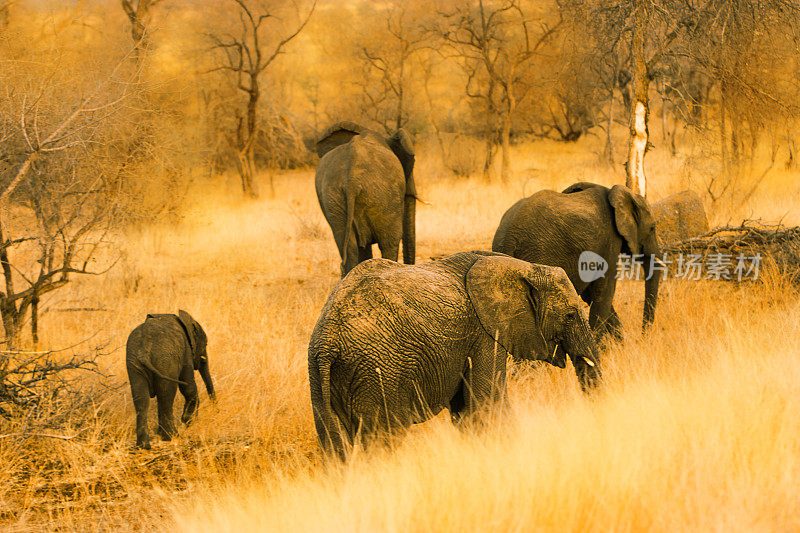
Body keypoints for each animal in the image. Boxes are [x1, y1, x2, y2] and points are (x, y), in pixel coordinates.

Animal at [124, 308, 214, 448]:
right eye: (205, 344)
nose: (217, 410)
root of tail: (144, 350)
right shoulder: (186, 351)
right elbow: (188, 387)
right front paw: (187, 420)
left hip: (134, 362)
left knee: (141, 398)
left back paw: (144, 445)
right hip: (165, 360)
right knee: (166, 395)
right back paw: (171, 437)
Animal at [306, 251, 600, 460]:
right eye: (570, 315)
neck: (524, 267)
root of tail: (328, 339)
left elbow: (465, 413)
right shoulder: (484, 333)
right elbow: (487, 403)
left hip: (321, 377)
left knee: (335, 445)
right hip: (379, 372)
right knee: (383, 441)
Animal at [494, 182, 664, 340]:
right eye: (652, 228)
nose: (642, 339)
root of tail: (510, 236)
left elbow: (590, 294)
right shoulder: (609, 240)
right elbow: (603, 291)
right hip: (539, 255)